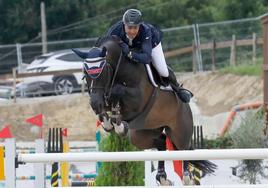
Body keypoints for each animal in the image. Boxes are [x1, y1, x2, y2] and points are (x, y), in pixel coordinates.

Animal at [73, 35, 216, 185]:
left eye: (103, 72)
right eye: (85, 73)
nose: (95, 103)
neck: (120, 68)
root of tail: (187, 107)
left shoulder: (137, 99)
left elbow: (117, 90)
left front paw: (118, 124)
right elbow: (107, 109)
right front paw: (109, 122)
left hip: (179, 132)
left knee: (183, 149)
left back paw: (187, 176)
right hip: (143, 135)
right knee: (162, 143)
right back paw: (162, 177)